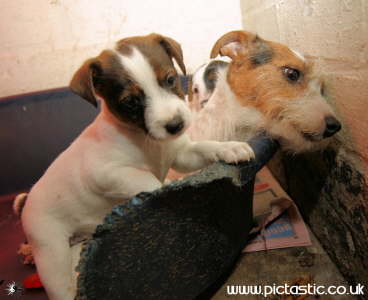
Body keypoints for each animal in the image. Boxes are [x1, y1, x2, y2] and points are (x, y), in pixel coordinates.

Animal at [19, 33, 256, 300]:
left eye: (170, 79)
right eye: (131, 102)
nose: (175, 125)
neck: (147, 141)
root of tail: (27, 201)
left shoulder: (182, 155)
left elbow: (205, 147)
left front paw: (230, 148)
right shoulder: (107, 174)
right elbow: (148, 182)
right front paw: (173, 187)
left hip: (76, 246)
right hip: (51, 253)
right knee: (62, 285)